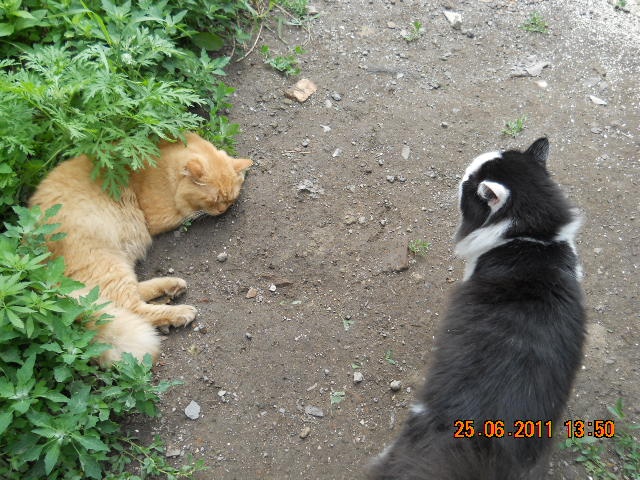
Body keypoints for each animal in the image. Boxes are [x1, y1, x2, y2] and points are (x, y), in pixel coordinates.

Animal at [29, 132, 253, 366]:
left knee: (131, 294)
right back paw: (181, 312)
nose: (222, 211)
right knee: (132, 306)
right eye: (215, 200)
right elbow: (188, 214)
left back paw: (173, 286)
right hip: (109, 264)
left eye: (230, 200)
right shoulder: (160, 217)